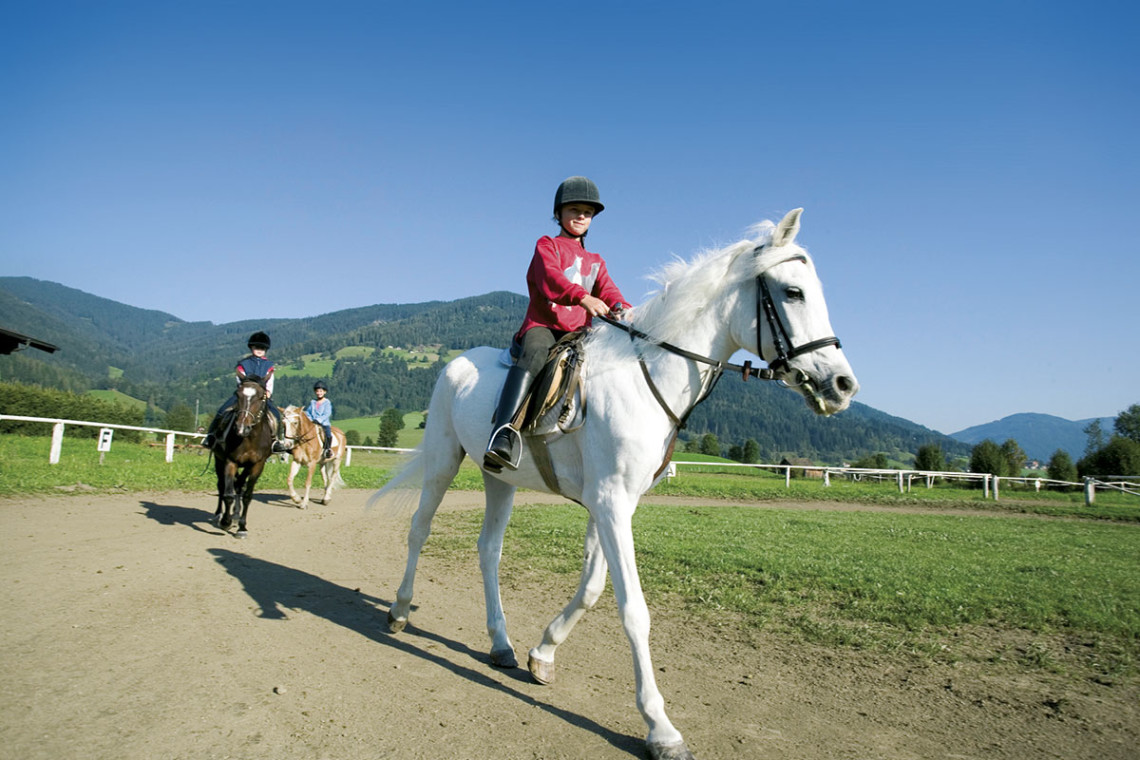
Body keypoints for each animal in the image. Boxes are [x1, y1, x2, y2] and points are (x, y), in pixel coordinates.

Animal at [208, 378, 274, 535]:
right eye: (237, 395)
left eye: (261, 397)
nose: (242, 427)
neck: (248, 439)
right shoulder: (230, 462)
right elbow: (228, 494)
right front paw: (225, 522)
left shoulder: (257, 465)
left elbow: (247, 495)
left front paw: (242, 527)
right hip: (218, 460)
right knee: (221, 486)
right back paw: (218, 515)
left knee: (238, 485)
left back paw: (236, 515)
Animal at [378, 209, 857, 760]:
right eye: (793, 292)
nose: (843, 386)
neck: (647, 377)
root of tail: (457, 363)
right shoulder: (609, 503)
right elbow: (634, 610)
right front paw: (661, 728)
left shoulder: (613, 505)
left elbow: (591, 588)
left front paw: (542, 653)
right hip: (442, 459)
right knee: (419, 530)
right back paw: (399, 611)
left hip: (499, 478)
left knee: (489, 550)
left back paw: (500, 643)